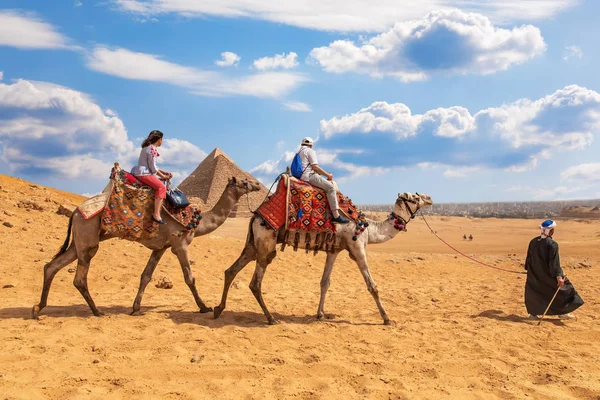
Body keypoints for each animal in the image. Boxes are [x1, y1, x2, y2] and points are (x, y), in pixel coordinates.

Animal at [32, 176, 262, 318]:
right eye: (244, 181)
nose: (258, 185)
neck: (197, 220)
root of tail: (75, 212)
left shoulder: (160, 247)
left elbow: (146, 276)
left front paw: (135, 308)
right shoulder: (179, 244)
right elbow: (189, 277)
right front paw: (204, 307)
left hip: (78, 241)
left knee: (51, 266)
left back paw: (38, 308)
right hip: (88, 239)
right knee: (79, 278)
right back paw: (97, 311)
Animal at [213, 191, 434, 324]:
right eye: (414, 197)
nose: (430, 198)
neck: (370, 229)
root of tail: (254, 216)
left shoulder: (333, 250)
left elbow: (324, 282)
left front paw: (320, 314)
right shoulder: (358, 248)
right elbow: (372, 286)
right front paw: (387, 319)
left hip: (253, 245)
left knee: (231, 270)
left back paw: (218, 309)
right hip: (266, 243)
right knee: (255, 282)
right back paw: (270, 318)